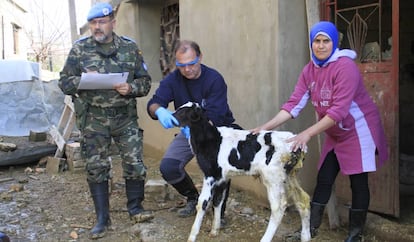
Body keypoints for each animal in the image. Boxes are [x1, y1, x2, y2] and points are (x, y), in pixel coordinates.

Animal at [171, 102, 310, 242]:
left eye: (183, 112)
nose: (171, 117)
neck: (210, 140)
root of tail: (294, 140)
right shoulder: (222, 177)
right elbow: (218, 201)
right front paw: (214, 231)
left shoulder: (210, 174)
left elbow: (202, 203)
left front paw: (192, 236)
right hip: (289, 175)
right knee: (303, 200)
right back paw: (305, 237)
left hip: (272, 177)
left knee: (279, 207)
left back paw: (265, 238)